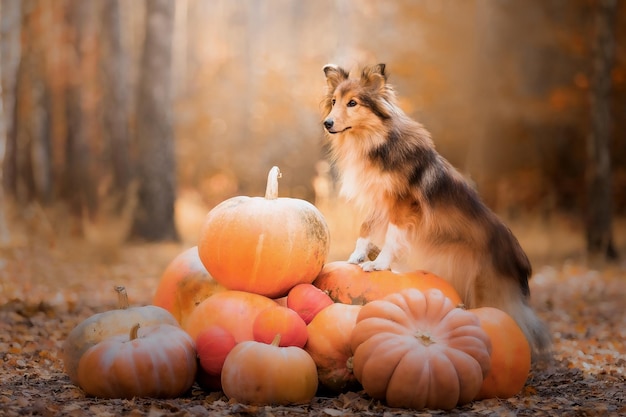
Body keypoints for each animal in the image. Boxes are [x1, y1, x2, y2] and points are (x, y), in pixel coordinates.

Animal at [320, 63, 548, 356]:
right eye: (334, 102)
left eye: (353, 103)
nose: (327, 123)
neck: (375, 142)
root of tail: (520, 259)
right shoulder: (379, 201)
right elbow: (365, 228)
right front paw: (357, 256)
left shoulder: (403, 204)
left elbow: (392, 236)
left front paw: (379, 263)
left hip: (487, 288)